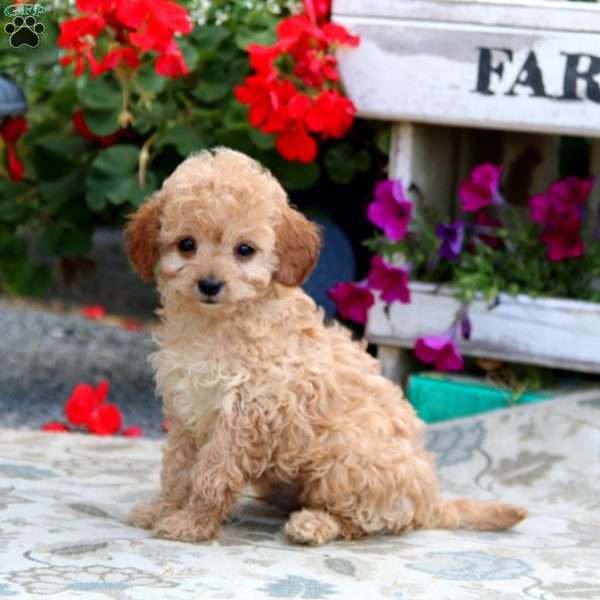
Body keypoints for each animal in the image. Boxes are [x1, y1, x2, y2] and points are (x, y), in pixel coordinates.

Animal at [125, 148, 524, 548]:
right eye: (186, 245)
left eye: (244, 251)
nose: (209, 284)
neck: (214, 327)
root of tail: (428, 500)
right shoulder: (185, 410)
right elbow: (178, 468)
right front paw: (163, 509)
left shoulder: (245, 416)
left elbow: (213, 474)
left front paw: (191, 523)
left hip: (346, 459)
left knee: (362, 521)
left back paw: (313, 524)